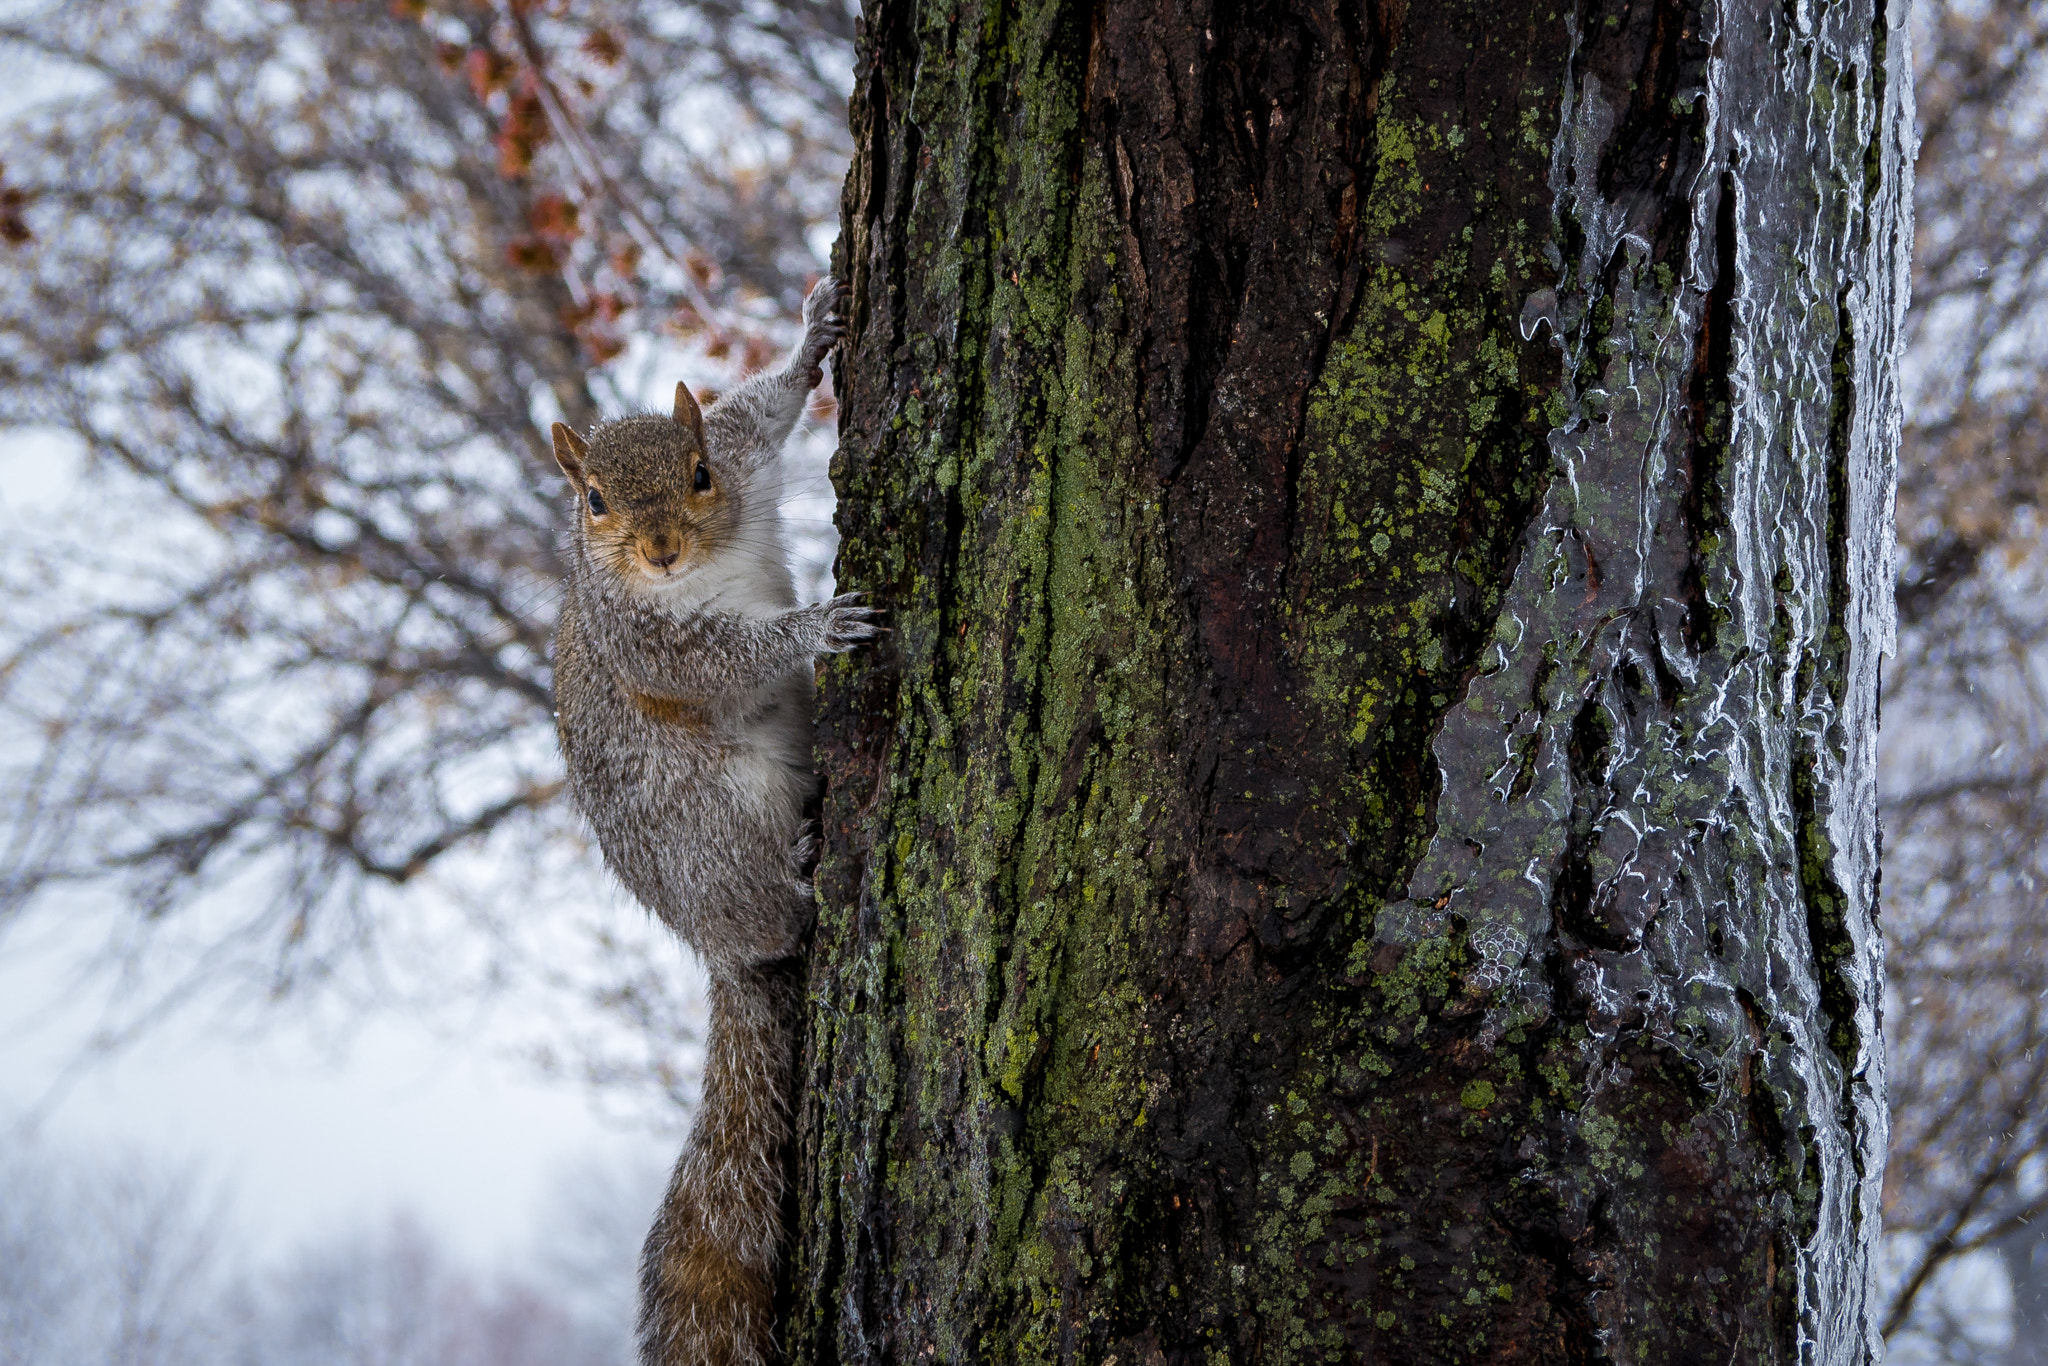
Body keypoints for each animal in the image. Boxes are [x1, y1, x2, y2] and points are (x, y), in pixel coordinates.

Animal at [548, 278, 868, 1366]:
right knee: (783, 918)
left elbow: (761, 413)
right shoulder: (653, 646)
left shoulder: (740, 457)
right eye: (592, 501)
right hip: (715, 827)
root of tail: (717, 944)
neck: (698, 572)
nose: (659, 551)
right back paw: (803, 873)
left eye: (695, 476)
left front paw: (811, 339)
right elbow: (729, 658)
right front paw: (816, 625)